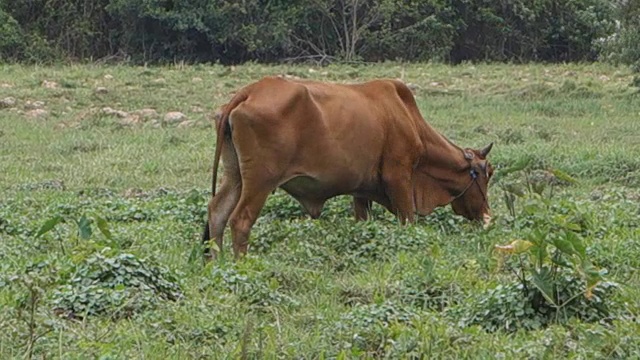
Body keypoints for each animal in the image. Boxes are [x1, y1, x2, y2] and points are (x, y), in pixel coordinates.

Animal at [202, 76, 492, 258]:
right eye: (487, 174)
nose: (487, 217)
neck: (408, 119)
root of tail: (250, 91)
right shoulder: (399, 177)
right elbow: (408, 220)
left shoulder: (361, 191)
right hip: (260, 180)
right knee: (240, 220)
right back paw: (243, 264)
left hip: (235, 175)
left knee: (217, 212)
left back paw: (216, 263)